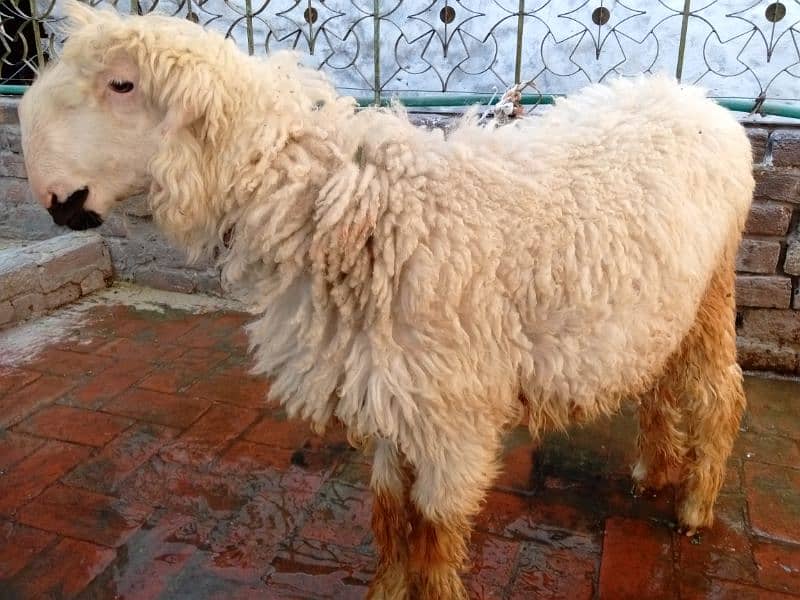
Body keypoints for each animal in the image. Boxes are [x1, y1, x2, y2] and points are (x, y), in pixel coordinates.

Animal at [18, 2, 755, 598]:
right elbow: (389, 511)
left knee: (719, 392)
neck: (351, 209)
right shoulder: (391, 388)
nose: (54, 198)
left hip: (715, 287)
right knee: (659, 380)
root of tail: (694, 99)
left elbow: (432, 529)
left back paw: (694, 508)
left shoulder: (451, 410)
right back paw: (652, 470)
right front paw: (389, 589)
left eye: (122, 85)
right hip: (662, 305)